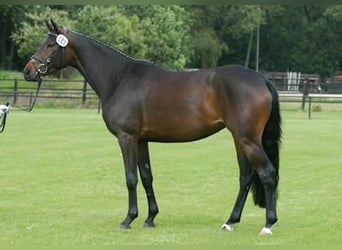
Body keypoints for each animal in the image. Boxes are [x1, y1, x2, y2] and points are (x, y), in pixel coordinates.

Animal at [23, 20, 280, 234]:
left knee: (267, 174)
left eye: (49, 45)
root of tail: (262, 80)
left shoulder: (126, 138)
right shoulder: (142, 140)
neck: (119, 78)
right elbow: (147, 176)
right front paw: (150, 218)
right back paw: (230, 221)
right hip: (239, 139)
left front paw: (128, 219)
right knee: (246, 177)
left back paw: (268, 224)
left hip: (248, 140)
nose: (28, 71)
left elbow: (130, 178)